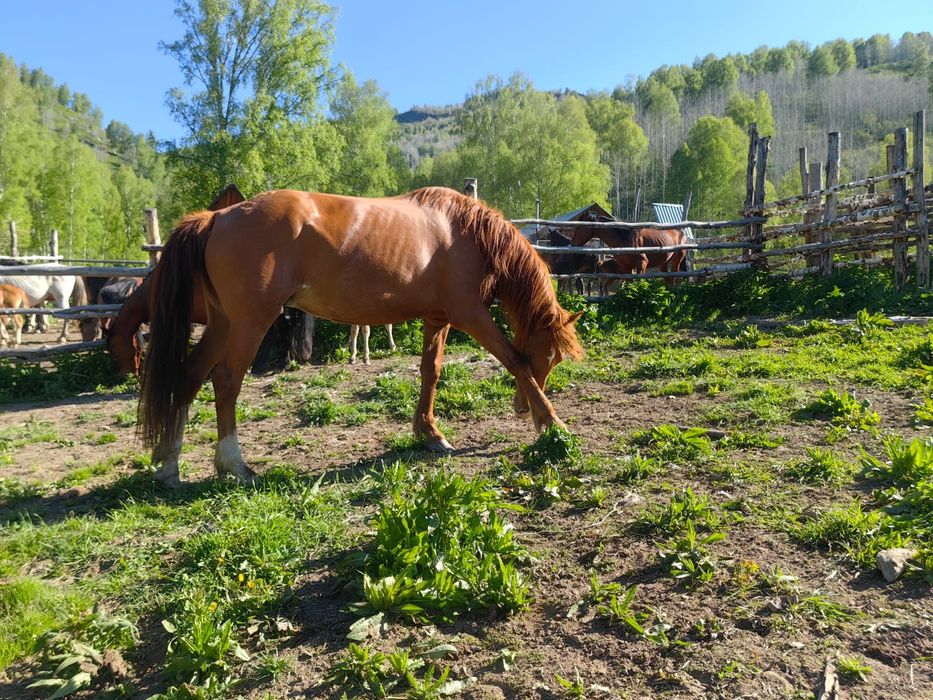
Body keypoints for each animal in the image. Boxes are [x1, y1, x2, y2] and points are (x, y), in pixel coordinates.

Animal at [138, 187, 582, 488]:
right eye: (551, 357)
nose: (521, 410)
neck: (462, 233)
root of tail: (217, 218)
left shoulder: (437, 319)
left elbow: (431, 373)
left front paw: (429, 434)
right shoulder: (469, 314)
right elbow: (515, 361)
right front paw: (552, 422)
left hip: (222, 324)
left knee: (189, 376)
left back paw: (168, 464)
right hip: (250, 321)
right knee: (225, 381)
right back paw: (234, 465)